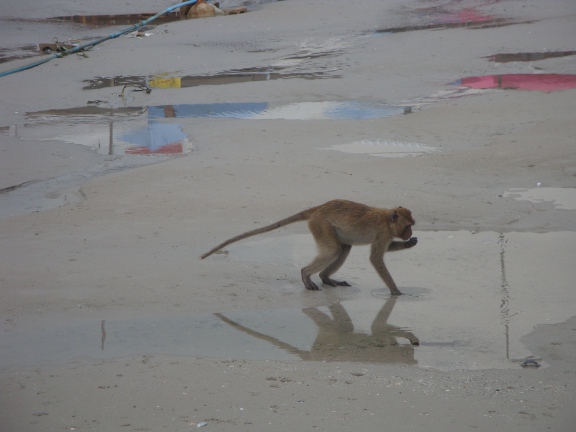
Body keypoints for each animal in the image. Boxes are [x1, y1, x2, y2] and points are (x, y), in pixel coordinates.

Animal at [200, 200, 416, 296]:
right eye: (408, 225)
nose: (409, 234)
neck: (387, 220)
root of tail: (319, 208)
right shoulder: (382, 232)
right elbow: (376, 258)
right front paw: (396, 291)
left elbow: (386, 250)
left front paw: (409, 244)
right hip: (320, 225)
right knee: (334, 250)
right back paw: (306, 274)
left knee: (343, 248)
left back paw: (325, 277)